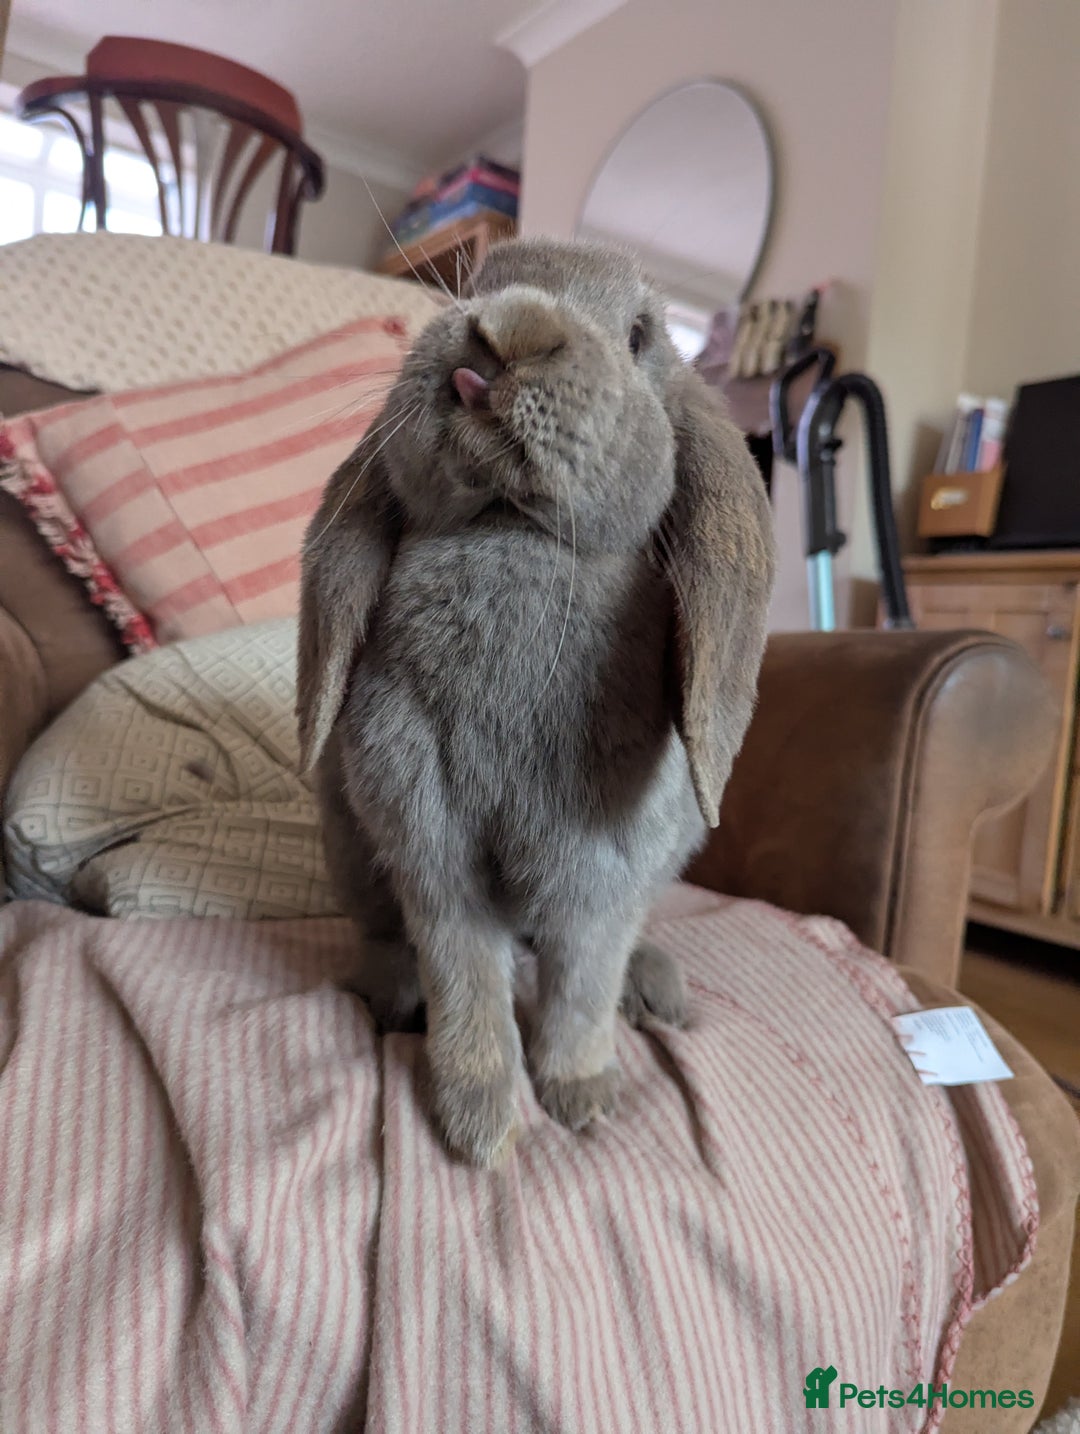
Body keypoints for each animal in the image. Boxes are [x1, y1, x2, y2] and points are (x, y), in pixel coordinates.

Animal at [297, 237, 775, 1167]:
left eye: (639, 335)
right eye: (476, 284)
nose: (504, 332)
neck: (512, 527)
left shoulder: (603, 878)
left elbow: (581, 988)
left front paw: (582, 1097)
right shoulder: (432, 851)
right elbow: (468, 982)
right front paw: (479, 1126)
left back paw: (655, 991)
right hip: (350, 838)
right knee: (381, 938)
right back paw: (391, 995)